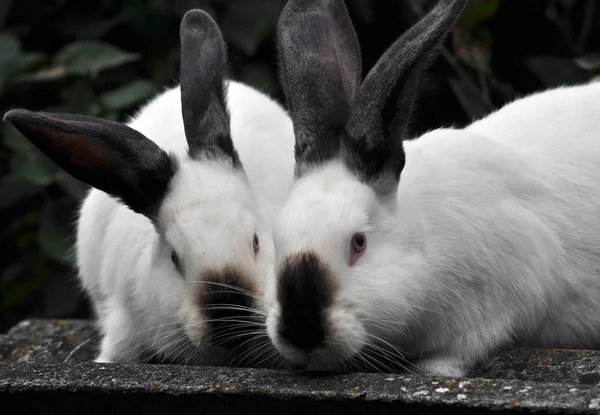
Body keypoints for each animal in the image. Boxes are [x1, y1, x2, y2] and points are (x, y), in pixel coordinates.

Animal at [262, 0, 600, 380]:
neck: (426, 239)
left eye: (359, 243)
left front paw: (430, 370)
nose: (300, 330)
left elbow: (464, 348)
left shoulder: (500, 295)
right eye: (276, 239)